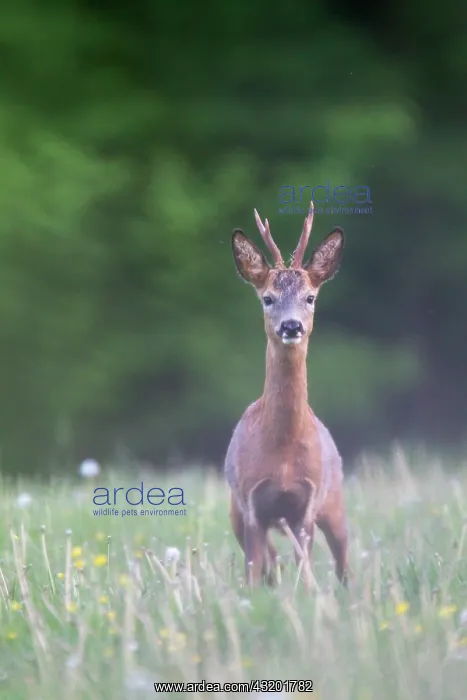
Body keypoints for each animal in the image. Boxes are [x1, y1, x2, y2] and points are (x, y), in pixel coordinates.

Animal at [224, 200, 349, 588]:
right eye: (268, 298)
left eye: (310, 297)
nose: (291, 326)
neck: (282, 451)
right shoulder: (250, 503)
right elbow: (253, 572)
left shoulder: (306, 505)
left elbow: (306, 572)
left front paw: (308, 596)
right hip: (236, 512)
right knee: (270, 562)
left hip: (335, 500)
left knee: (344, 563)